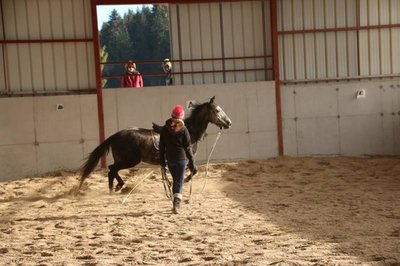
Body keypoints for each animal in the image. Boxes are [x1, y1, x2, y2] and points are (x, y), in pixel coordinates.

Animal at [79, 96, 231, 192]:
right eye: (217, 110)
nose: (229, 123)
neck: (188, 130)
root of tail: (116, 135)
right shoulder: (185, 158)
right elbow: (193, 171)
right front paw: (184, 181)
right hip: (130, 160)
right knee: (112, 170)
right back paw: (115, 188)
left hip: (123, 160)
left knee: (112, 170)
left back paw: (117, 186)